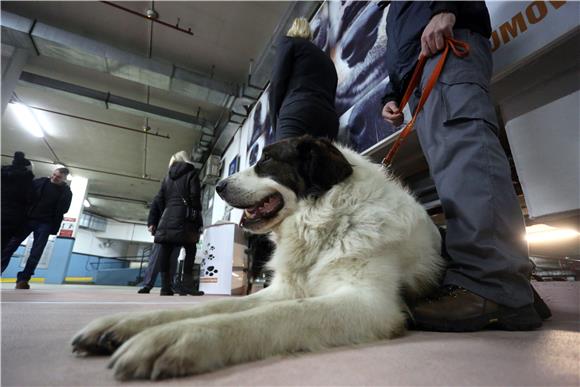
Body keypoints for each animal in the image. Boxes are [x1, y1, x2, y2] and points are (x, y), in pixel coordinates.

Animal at [71, 136, 444, 382]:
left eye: (266, 161)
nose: (219, 185)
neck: (325, 221)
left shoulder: (369, 303)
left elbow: (279, 314)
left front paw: (179, 337)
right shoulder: (282, 289)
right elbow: (216, 305)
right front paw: (127, 323)